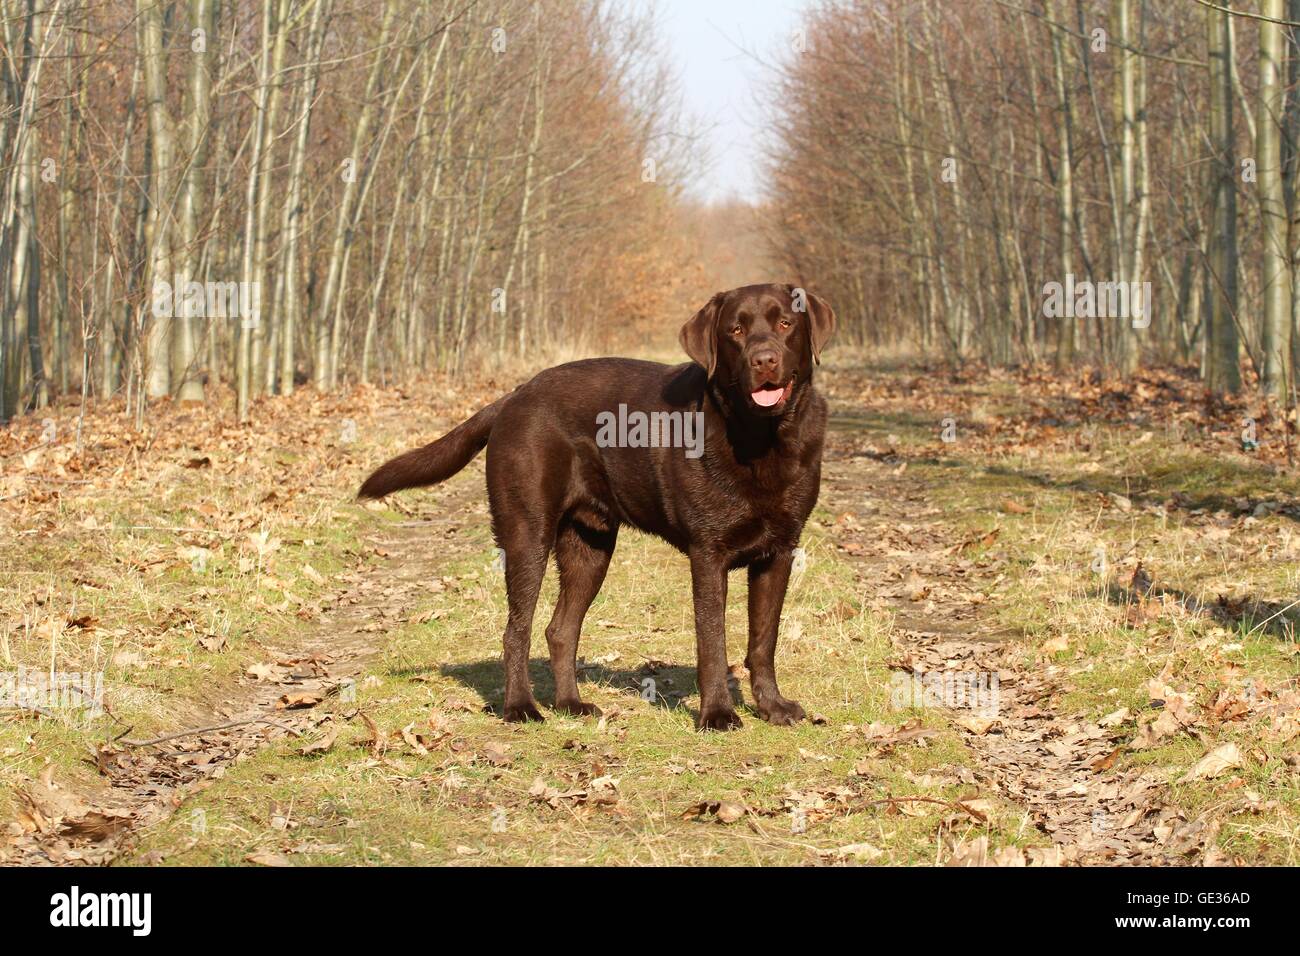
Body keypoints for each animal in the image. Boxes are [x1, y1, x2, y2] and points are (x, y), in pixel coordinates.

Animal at [361, 283, 837, 733]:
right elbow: (712, 641)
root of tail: (514, 396)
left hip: (589, 546)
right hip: (526, 533)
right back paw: (521, 707)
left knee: (560, 629)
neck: (760, 438)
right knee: (517, 629)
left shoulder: (779, 552)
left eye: (785, 324)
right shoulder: (708, 554)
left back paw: (571, 704)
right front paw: (718, 714)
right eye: (735, 330)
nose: (764, 360)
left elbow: (764, 639)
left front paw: (772, 707)